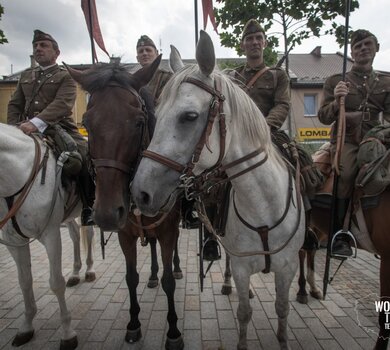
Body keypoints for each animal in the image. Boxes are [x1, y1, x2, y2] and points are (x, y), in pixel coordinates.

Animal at [0, 122, 80, 348]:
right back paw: (76, 272)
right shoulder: (14, 241)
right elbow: (25, 281)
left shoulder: (51, 234)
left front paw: (67, 333)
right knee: (76, 235)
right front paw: (26, 326)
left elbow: (56, 283)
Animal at [64, 56, 184, 348]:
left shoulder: (168, 230)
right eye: (87, 123)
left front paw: (173, 331)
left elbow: (168, 281)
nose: (107, 214)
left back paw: (175, 268)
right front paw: (133, 324)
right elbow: (131, 279)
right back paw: (151, 275)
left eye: (139, 122)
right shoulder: (126, 235)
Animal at [132, 30, 308, 350]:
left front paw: (283, 340)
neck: (264, 206)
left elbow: (282, 308)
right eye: (156, 113)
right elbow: (244, 311)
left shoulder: (287, 268)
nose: (140, 192)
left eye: (189, 116)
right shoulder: (241, 266)